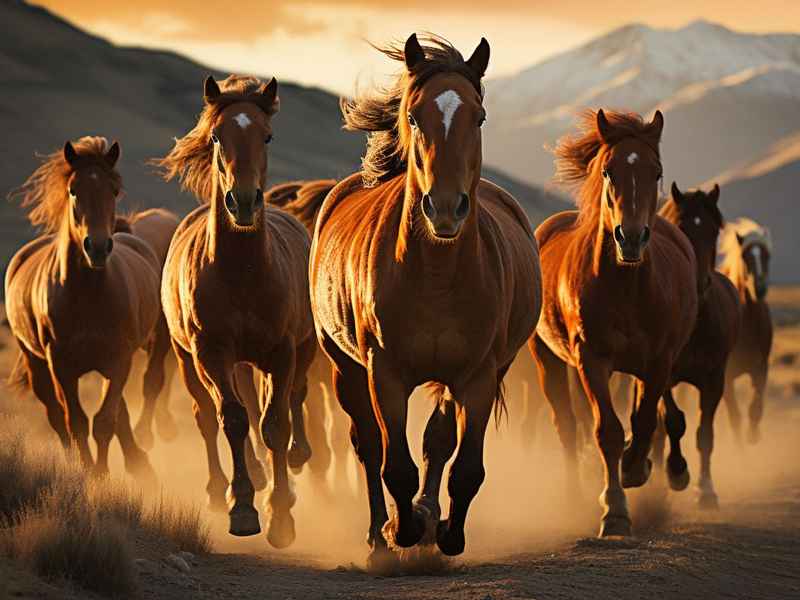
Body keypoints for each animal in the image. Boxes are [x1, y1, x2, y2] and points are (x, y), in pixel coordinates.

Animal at [5, 137, 161, 481]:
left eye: (113, 190)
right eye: (73, 189)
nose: (98, 247)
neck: (88, 296)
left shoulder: (118, 360)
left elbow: (105, 420)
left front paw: (102, 474)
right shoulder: (60, 365)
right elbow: (74, 421)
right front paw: (87, 472)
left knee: (117, 412)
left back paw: (138, 461)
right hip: (36, 364)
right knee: (55, 415)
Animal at [155, 74, 316, 548]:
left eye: (267, 135)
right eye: (215, 136)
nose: (242, 201)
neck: (243, 272)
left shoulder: (282, 352)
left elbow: (275, 422)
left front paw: (281, 515)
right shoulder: (212, 353)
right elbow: (233, 419)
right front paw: (242, 506)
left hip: (296, 351)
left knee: (289, 400)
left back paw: (291, 464)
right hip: (188, 358)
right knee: (208, 417)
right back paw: (222, 487)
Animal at [309, 34, 541, 565]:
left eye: (479, 116)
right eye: (414, 117)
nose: (445, 208)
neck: (435, 275)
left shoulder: (478, 376)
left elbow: (463, 465)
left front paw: (444, 531)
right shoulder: (385, 374)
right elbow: (393, 463)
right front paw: (401, 530)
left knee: (438, 442)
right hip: (344, 367)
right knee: (368, 445)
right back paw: (380, 537)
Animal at [530, 109, 698, 537]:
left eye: (656, 172)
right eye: (608, 171)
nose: (631, 238)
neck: (626, 286)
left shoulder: (659, 362)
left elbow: (645, 421)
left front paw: (635, 468)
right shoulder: (591, 359)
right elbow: (607, 429)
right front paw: (615, 510)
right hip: (548, 361)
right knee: (566, 425)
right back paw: (574, 493)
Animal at [653, 183, 740, 508]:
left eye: (714, 230)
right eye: (681, 226)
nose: (700, 283)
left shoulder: (714, 380)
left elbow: (705, 433)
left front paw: (706, 490)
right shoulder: (663, 374)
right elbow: (673, 421)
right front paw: (677, 472)